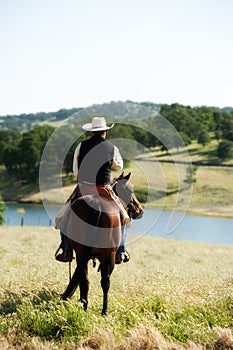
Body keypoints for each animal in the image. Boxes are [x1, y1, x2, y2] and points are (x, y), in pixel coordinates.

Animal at [61, 172, 143, 314]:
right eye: (130, 190)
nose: (140, 210)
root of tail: (97, 207)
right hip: (109, 254)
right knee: (105, 282)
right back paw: (104, 311)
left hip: (82, 252)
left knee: (85, 280)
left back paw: (84, 307)